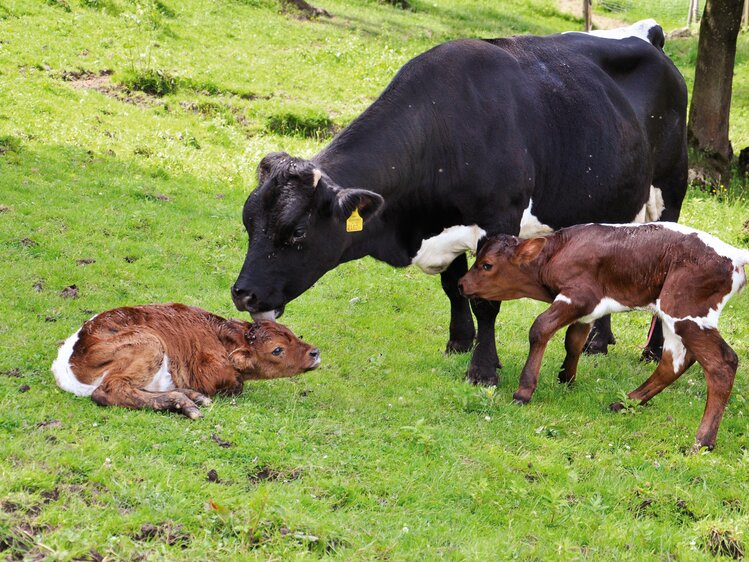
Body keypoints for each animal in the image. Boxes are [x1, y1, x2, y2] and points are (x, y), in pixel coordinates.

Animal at [51, 302, 320, 416]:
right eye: (277, 350)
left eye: (291, 334)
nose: (315, 352)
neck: (222, 337)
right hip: (150, 344)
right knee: (109, 390)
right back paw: (186, 403)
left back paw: (191, 397)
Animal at [231, 18, 688, 384]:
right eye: (249, 223)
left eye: (297, 232)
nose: (242, 295)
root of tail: (651, 39)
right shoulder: (443, 221)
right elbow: (454, 286)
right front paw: (459, 342)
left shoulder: (499, 219)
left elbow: (485, 300)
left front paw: (483, 370)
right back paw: (598, 341)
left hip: (672, 188)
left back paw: (651, 352)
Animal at [458, 221, 744, 448]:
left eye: (487, 265)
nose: (461, 284)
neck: (555, 253)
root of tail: (734, 255)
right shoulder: (588, 309)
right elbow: (573, 340)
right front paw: (567, 379)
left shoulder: (580, 295)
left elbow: (540, 328)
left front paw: (524, 390)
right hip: (673, 318)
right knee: (672, 363)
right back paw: (626, 403)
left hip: (685, 313)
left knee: (722, 363)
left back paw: (703, 440)